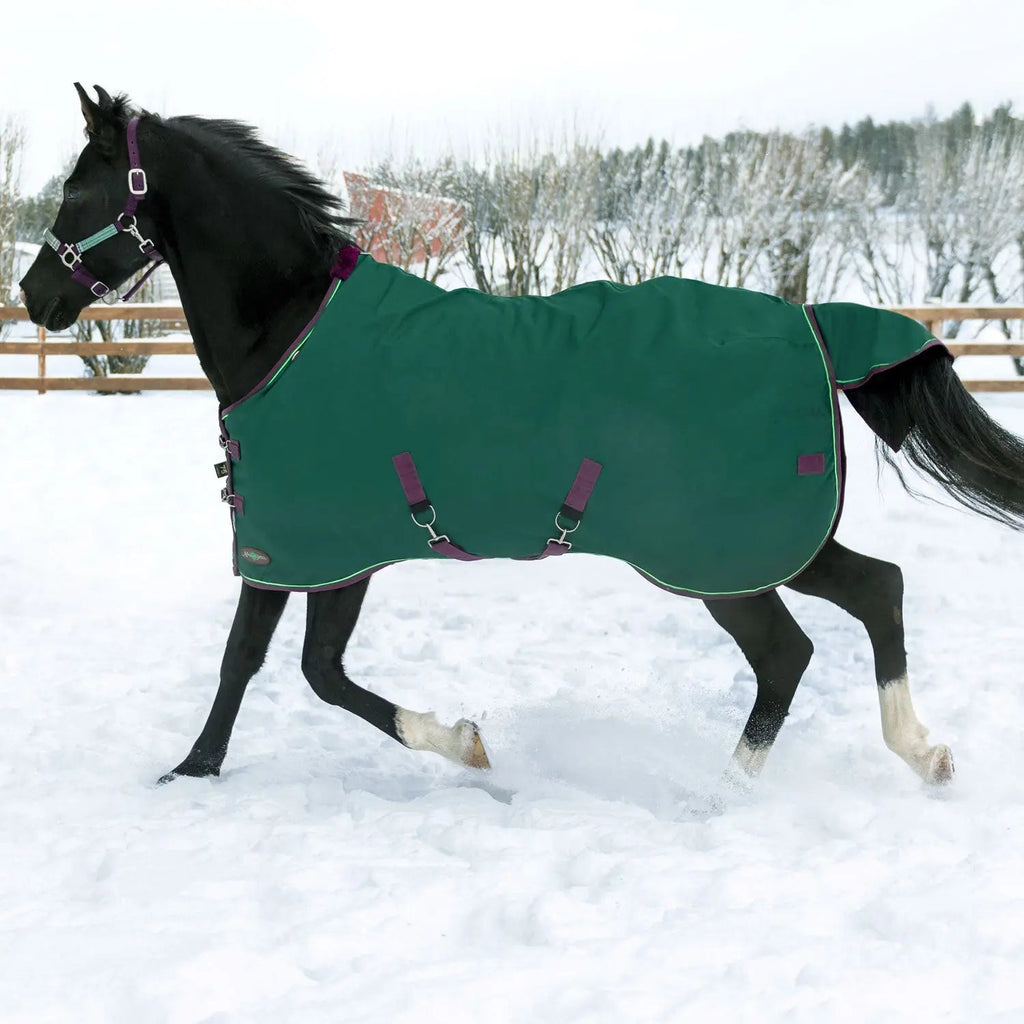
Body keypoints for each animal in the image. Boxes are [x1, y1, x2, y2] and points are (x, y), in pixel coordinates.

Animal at [19, 84, 1024, 792]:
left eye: (77, 190)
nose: (35, 296)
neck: (293, 328)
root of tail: (813, 323)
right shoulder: (332, 551)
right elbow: (304, 669)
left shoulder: (303, 548)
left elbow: (271, 666)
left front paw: (196, 770)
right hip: (766, 546)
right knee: (876, 591)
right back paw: (921, 754)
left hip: (718, 559)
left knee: (791, 651)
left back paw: (728, 792)